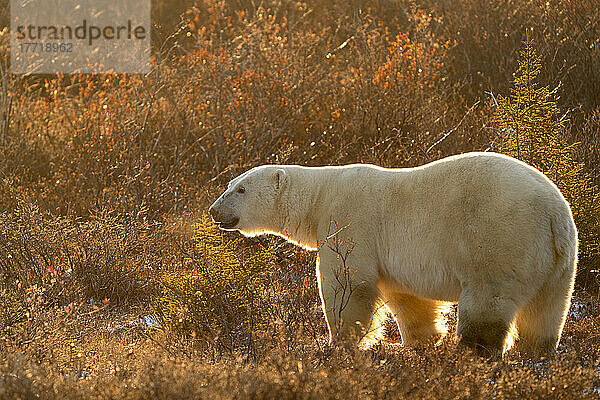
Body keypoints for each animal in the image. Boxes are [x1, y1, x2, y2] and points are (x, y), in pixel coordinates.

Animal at [207, 152, 576, 354]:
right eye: (228, 185)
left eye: (240, 189)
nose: (214, 210)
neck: (320, 195)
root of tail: (553, 211)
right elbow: (408, 297)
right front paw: (420, 340)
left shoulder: (350, 219)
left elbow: (348, 284)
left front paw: (336, 343)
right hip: (557, 261)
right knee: (546, 310)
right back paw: (536, 352)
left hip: (498, 237)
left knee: (488, 300)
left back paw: (474, 351)